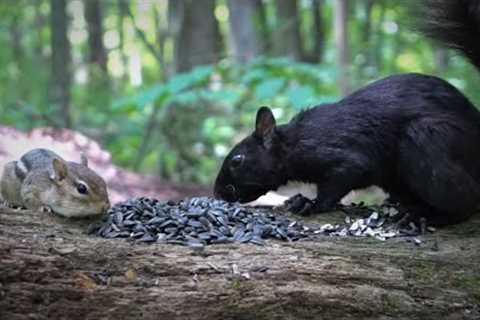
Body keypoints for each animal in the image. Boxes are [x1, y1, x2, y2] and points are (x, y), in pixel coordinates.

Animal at [214, 0, 480, 225]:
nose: (217, 193)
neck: (291, 144)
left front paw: (309, 203)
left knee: (466, 202)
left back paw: (425, 217)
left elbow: (343, 176)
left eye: (237, 160)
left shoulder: (337, 155)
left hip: (428, 139)